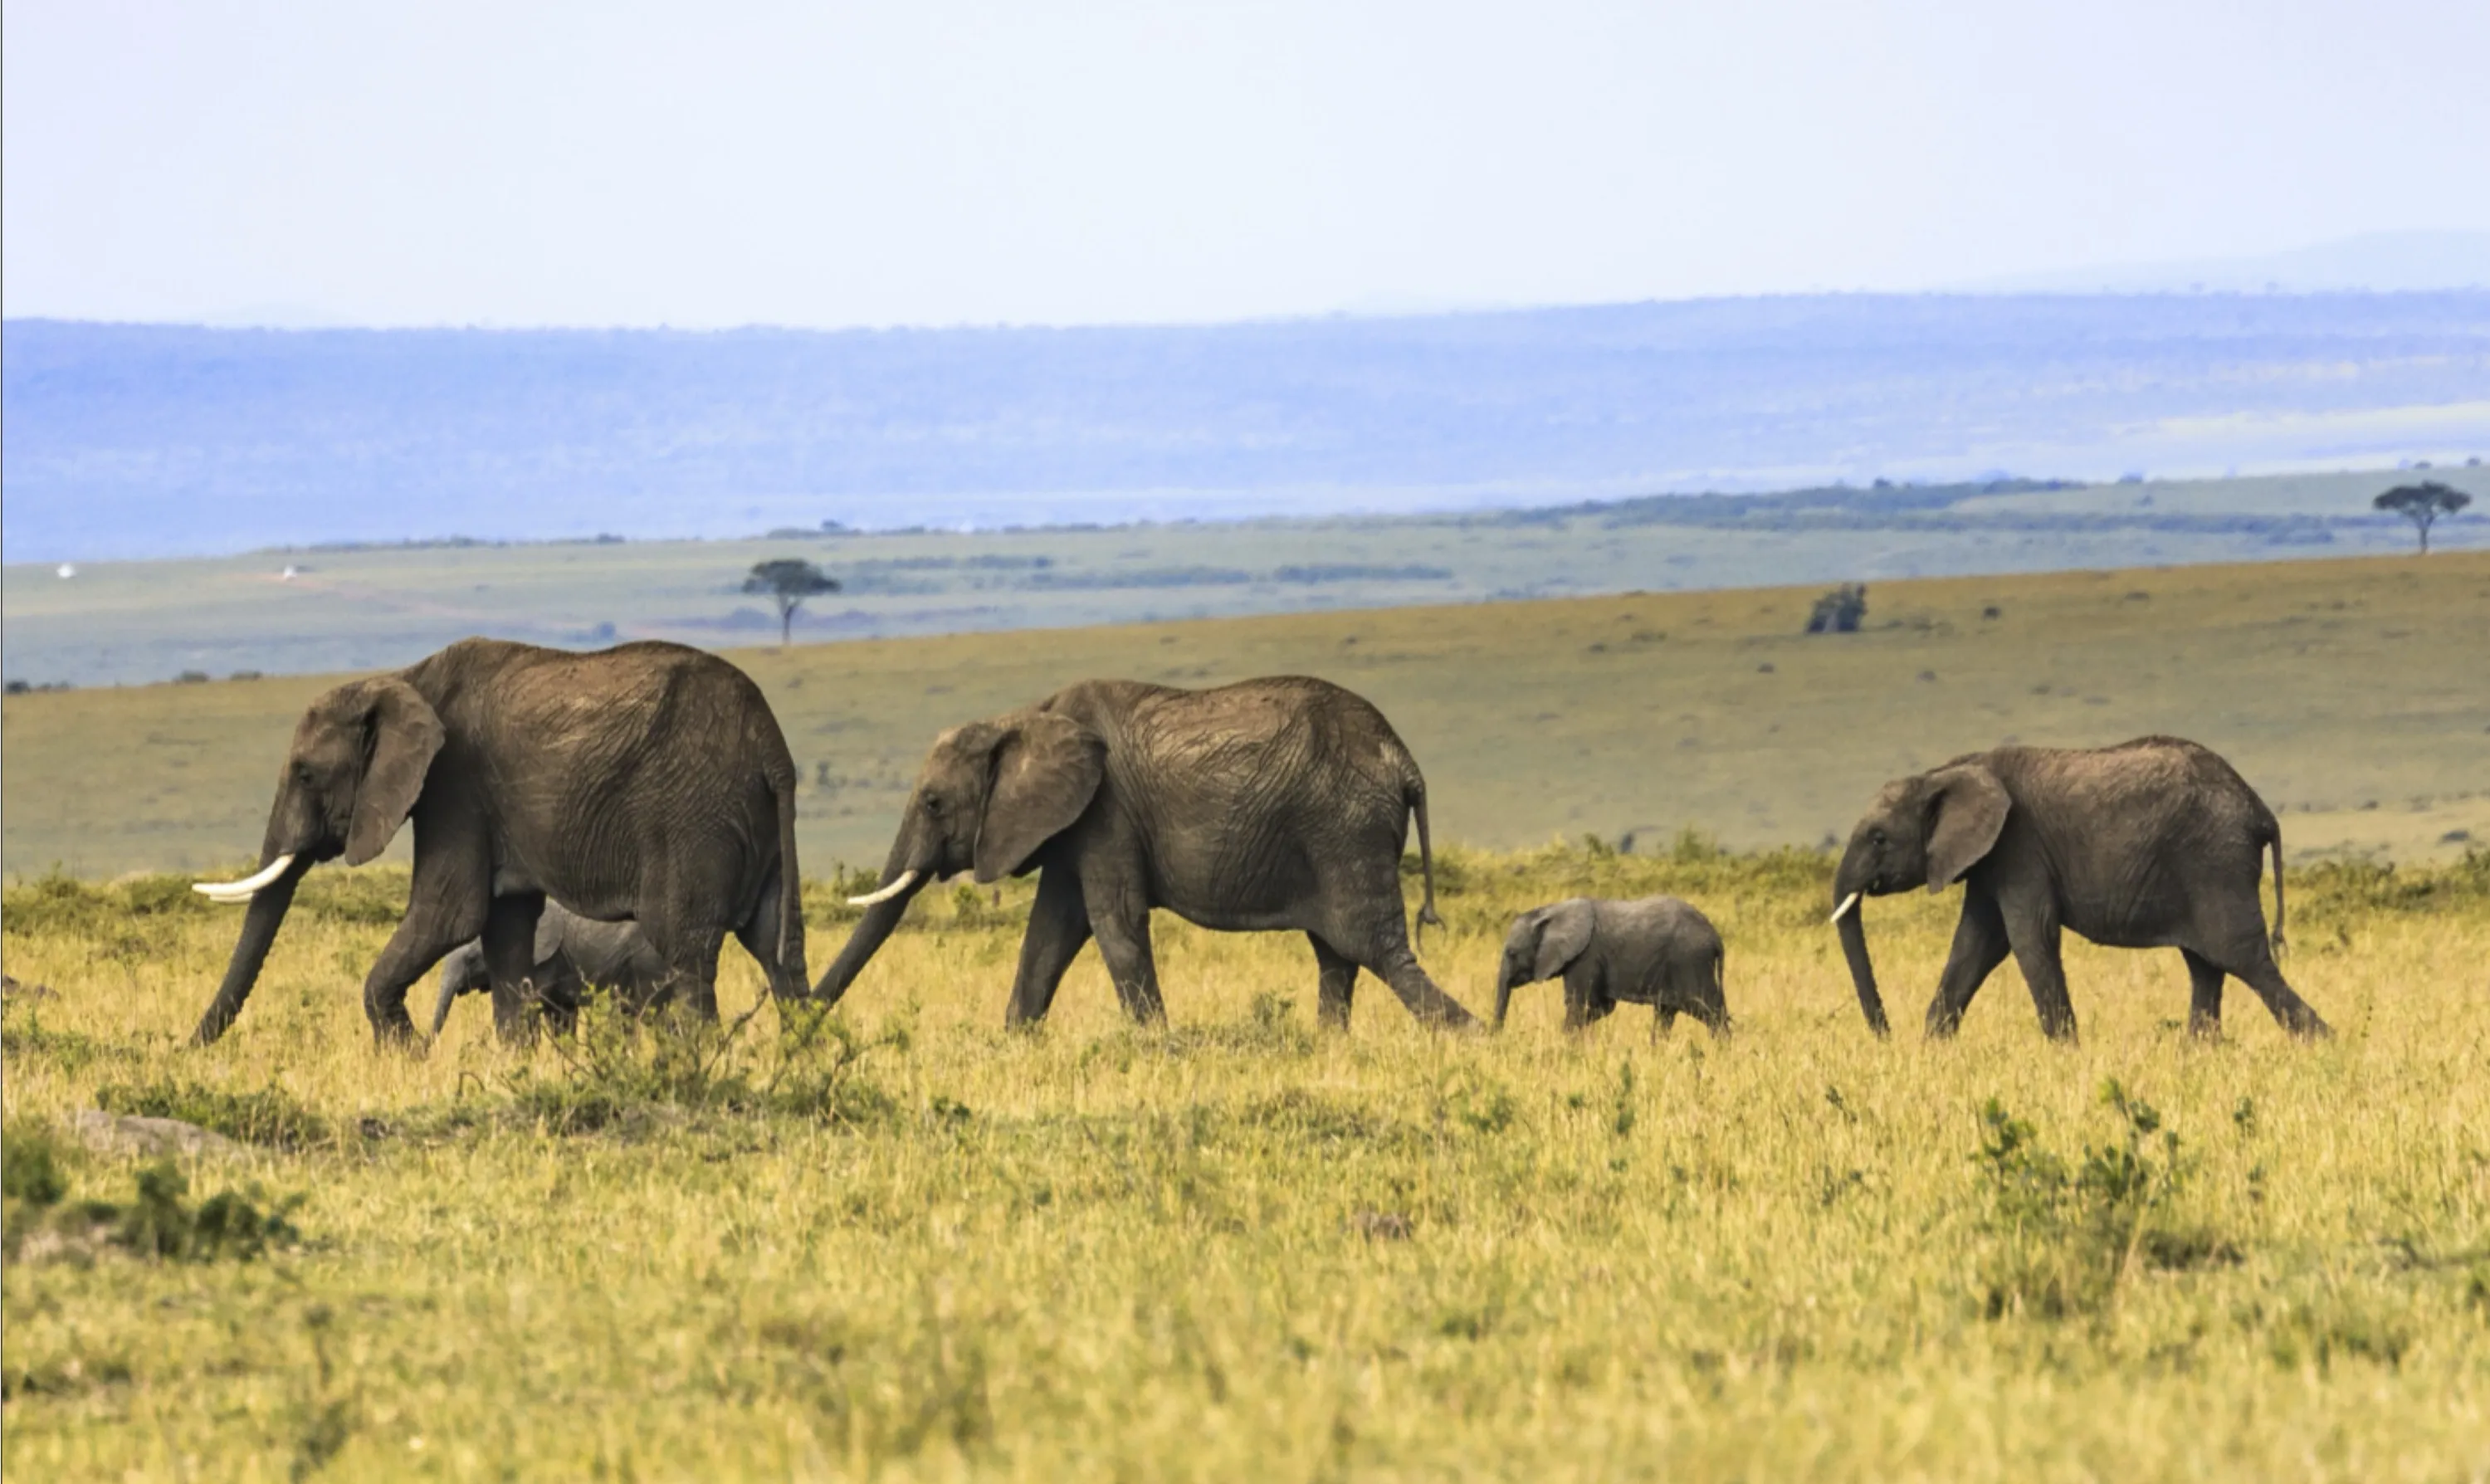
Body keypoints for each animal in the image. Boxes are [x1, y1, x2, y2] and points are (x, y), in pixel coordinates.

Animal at [814, 676, 1478, 1031]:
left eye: (931, 803)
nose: (801, 1022)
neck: (1024, 716)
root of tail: (1405, 762)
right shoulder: (1074, 823)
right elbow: (1050, 932)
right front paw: (1013, 1041)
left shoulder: (1107, 811)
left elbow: (1115, 921)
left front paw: (1158, 1045)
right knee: (1338, 955)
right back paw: (1328, 1046)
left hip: (1346, 829)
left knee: (1375, 949)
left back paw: (1474, 1036)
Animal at [1495, 896, 1728, 1039]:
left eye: (1512, 953)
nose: (1496, 1037)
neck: (1552, 911)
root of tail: (1716, 937)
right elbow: (1603, 1006)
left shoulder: (1585, 957)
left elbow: (1576, 1004)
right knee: (1666, 1014)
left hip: (1691, 962)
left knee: (1709, 1011)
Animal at [1828, 735, 2328, 1043]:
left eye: (1879, 839)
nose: (1885, 1036)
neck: (1946, 771)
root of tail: (2260, 809)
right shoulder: (1990, 860)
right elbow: (1976, 944)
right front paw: (1932, 1048)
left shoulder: (2020, 846)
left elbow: (2028, 938)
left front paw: (2067, 1052)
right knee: (2206, 966)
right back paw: (2199, 1055)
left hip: (2215, 863)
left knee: (2242, 958)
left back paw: (2323, 1044)